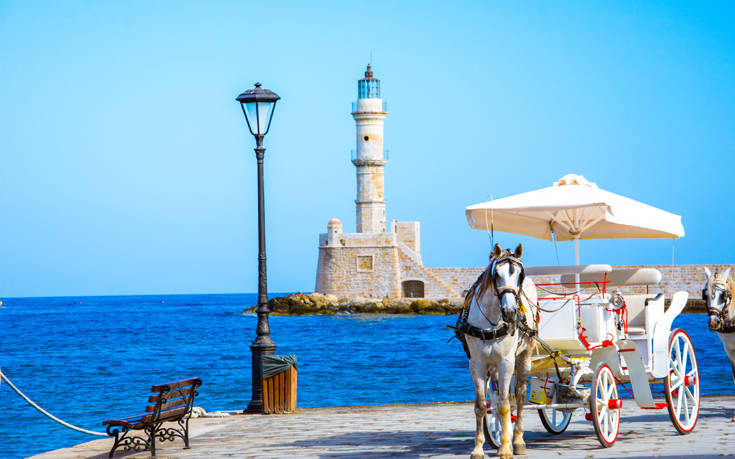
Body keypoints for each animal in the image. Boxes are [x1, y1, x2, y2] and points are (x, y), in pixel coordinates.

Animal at [462, 244, 536, 459]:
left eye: (520, 275)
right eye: (496, 274)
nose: (510, 312)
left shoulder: (506, 362)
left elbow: (504, 405)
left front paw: (505, 448)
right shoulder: (477, 363)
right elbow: (481, 405)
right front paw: (478, 448)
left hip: (524, 356)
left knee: (518, 396)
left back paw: (517, 440)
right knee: (500, 396)